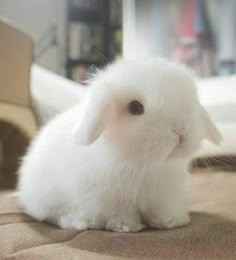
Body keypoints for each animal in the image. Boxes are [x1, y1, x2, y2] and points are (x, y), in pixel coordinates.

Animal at [18, 58, 221, 232]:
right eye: (135, 108)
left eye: (192, 103)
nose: (181, 130)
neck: (148, 166)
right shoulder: (110, 199)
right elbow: (120, 213)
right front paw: (126, 226)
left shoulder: (165, 196)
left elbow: (163, 210)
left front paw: (173, 222)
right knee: (56, 216)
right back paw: (79, 221)